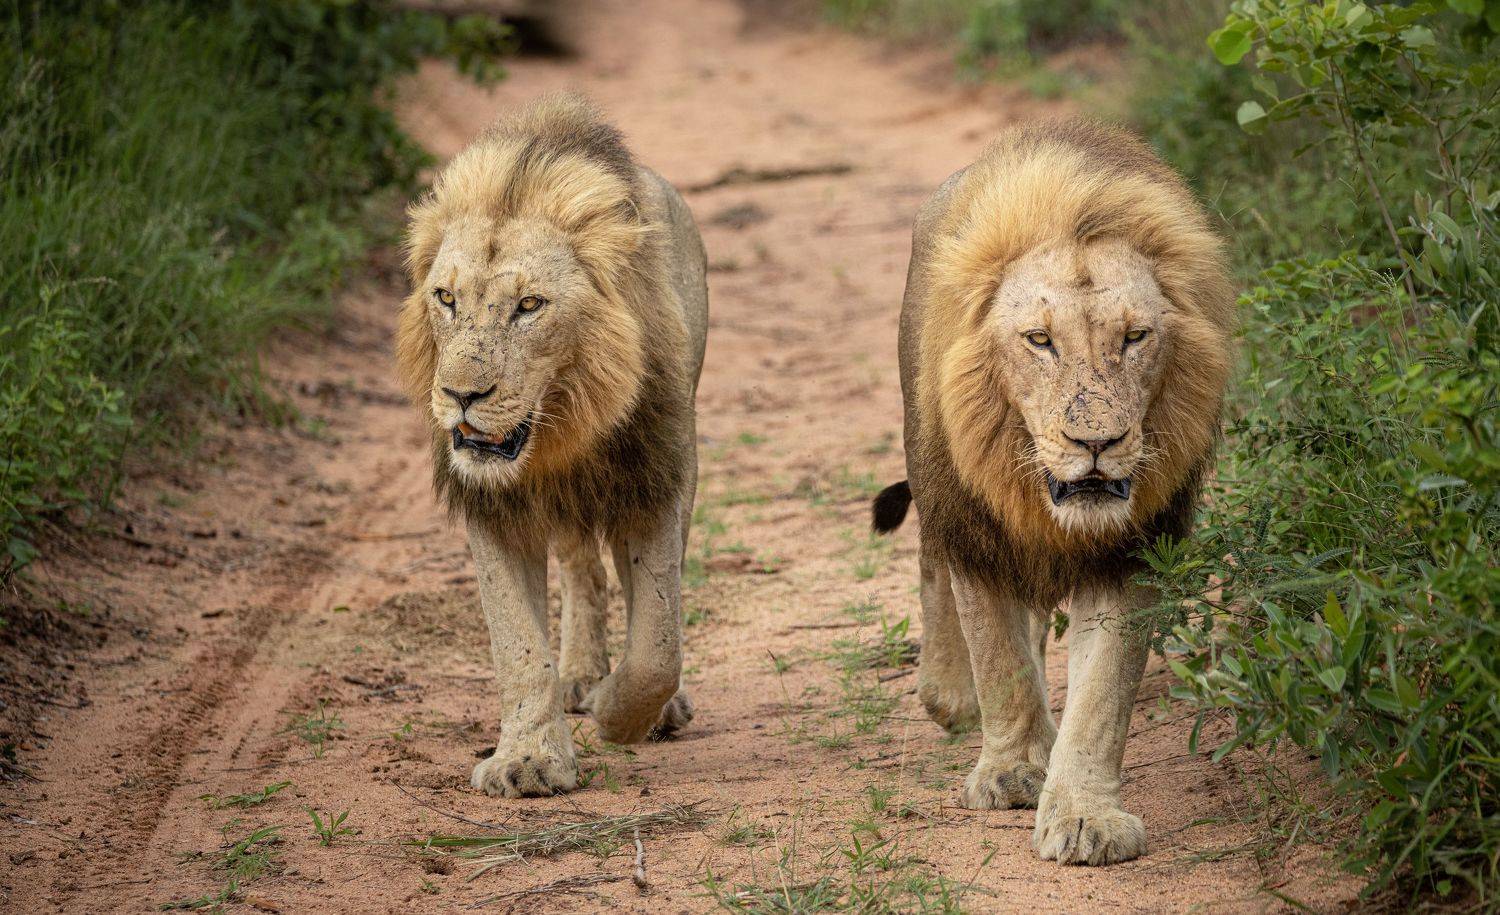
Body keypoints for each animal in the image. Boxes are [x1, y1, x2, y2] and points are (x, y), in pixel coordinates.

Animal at [396, 94, 708, 798]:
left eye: (530, 305)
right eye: (446, 297)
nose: (460, 394)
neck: (557, 434)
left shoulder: (655, 479)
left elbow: (658, 643)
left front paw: (622, 713)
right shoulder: (492, 508)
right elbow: (518, 647)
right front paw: (530, 760)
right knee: (580, 568)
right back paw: (580, 674)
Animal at [872, 120, 1234, 865]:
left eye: (1135, 336)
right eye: (1040, 340)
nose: (1096, 442)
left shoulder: (1133, 551)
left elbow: (1101, 697)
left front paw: (1084, 816)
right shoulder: (976, 533)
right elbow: (999, 659)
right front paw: (1011, 772)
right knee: (930, 562)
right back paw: (948, 692)